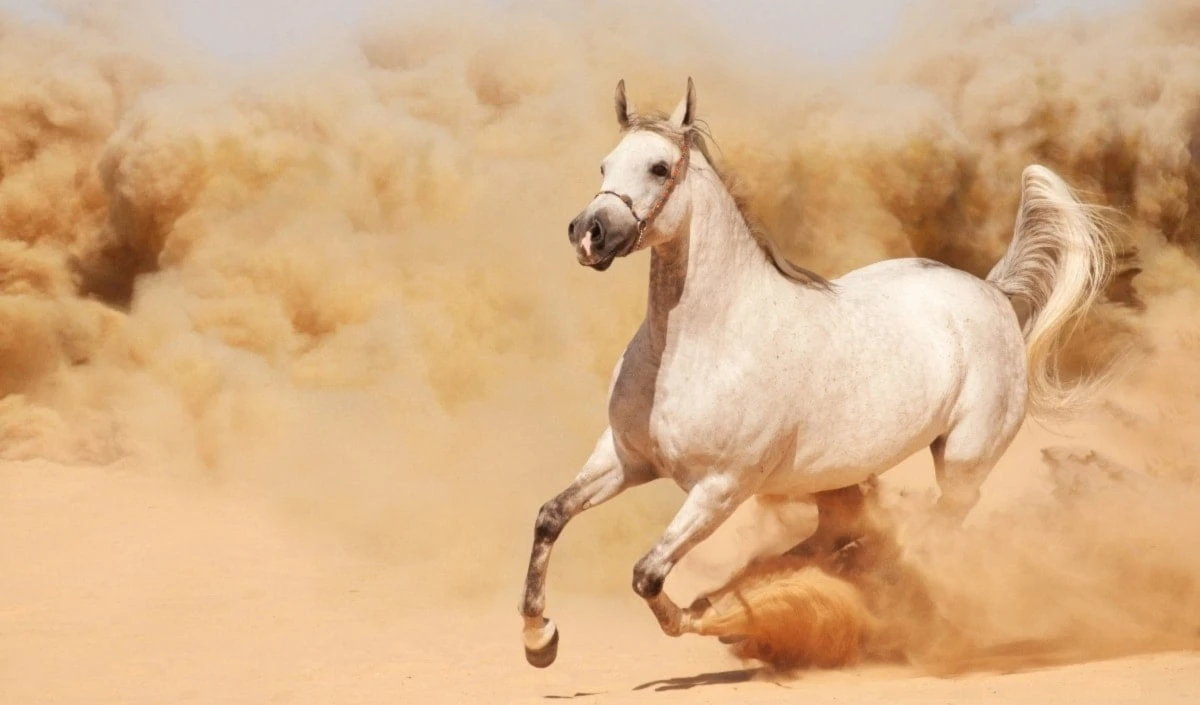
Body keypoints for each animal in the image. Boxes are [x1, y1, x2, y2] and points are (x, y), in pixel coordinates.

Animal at [519, 77, 1115, 668]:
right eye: (604, 165)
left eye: (659, 168)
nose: (588, 233)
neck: (700, 343)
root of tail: (991, 293)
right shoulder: (625, 458)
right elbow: (550, 515)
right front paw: (539, 638)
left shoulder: (720, 488)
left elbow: (648, 575)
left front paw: (704, 616)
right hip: (841, 478)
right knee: (842, 536)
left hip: (963, 462)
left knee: (929, 534)